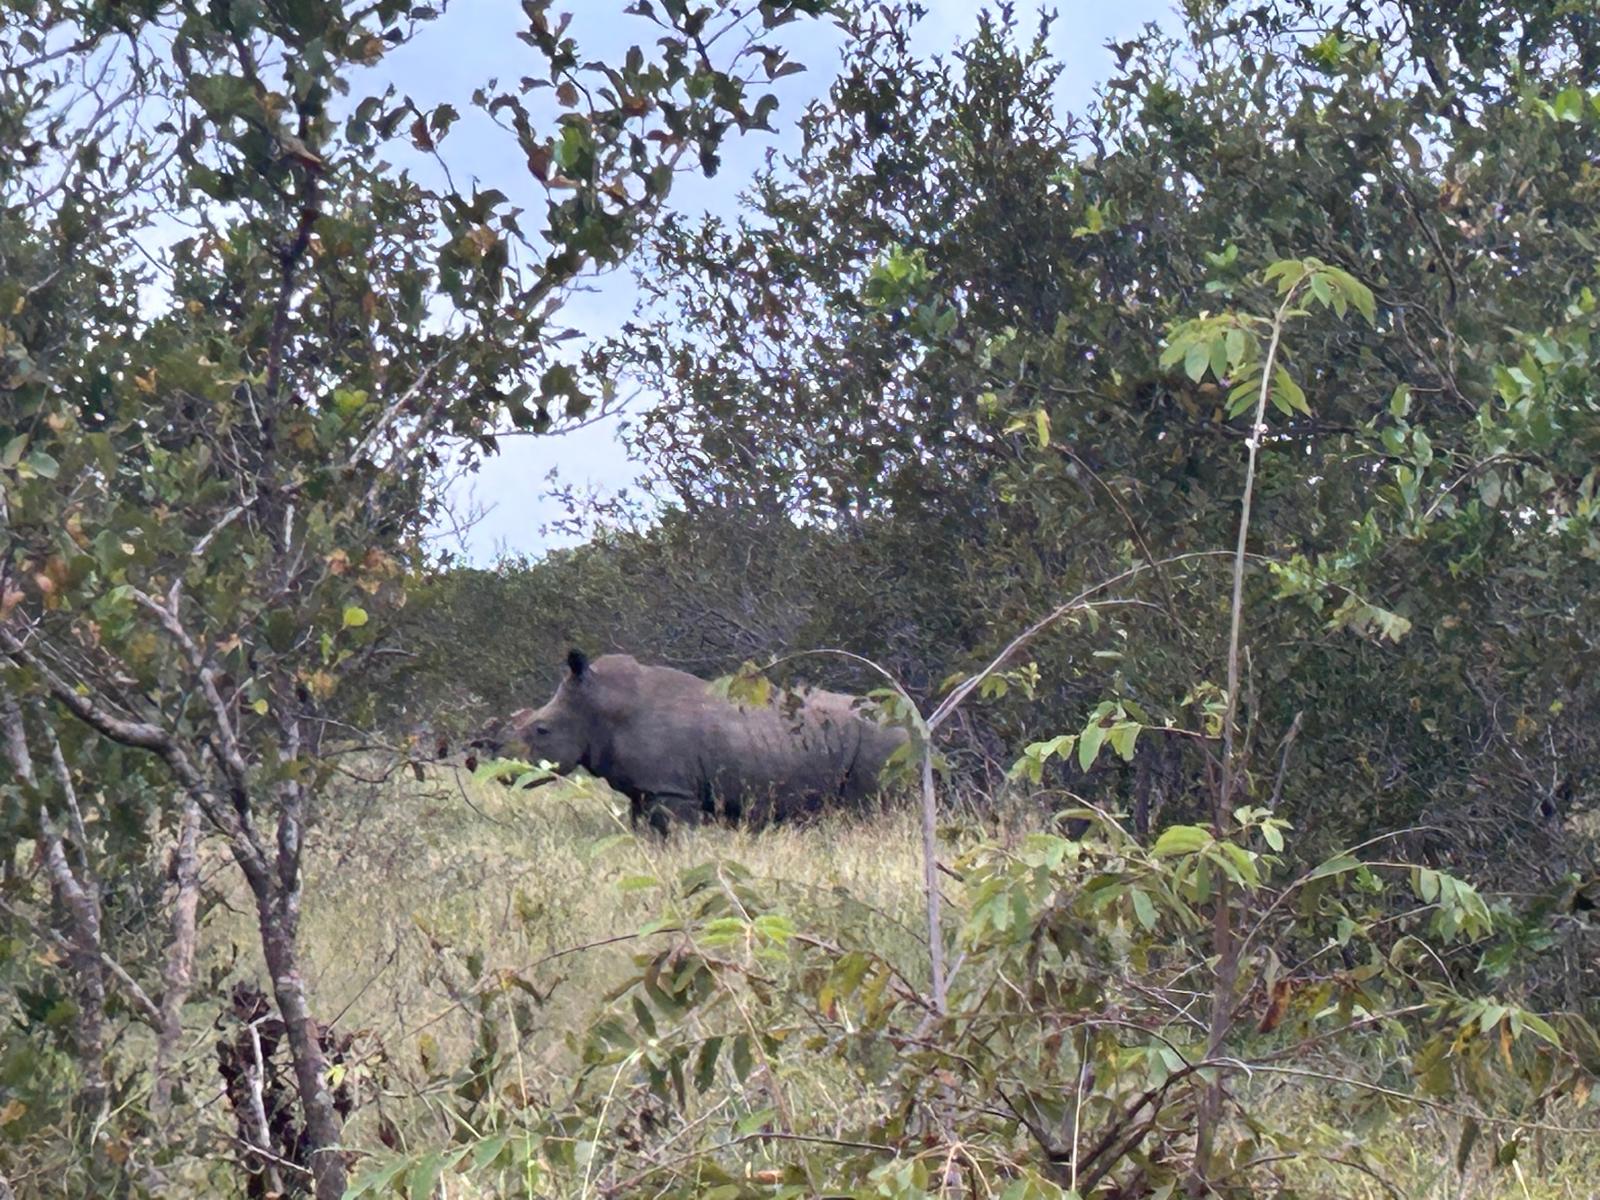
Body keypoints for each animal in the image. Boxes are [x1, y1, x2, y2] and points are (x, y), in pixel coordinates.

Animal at [473, 650, 909, 835]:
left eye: (541, 730)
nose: (499, 770)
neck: (599, 705)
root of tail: (913, 725)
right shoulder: (645, 790)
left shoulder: (670, 790)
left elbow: (677, 836)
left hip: (882, 746)